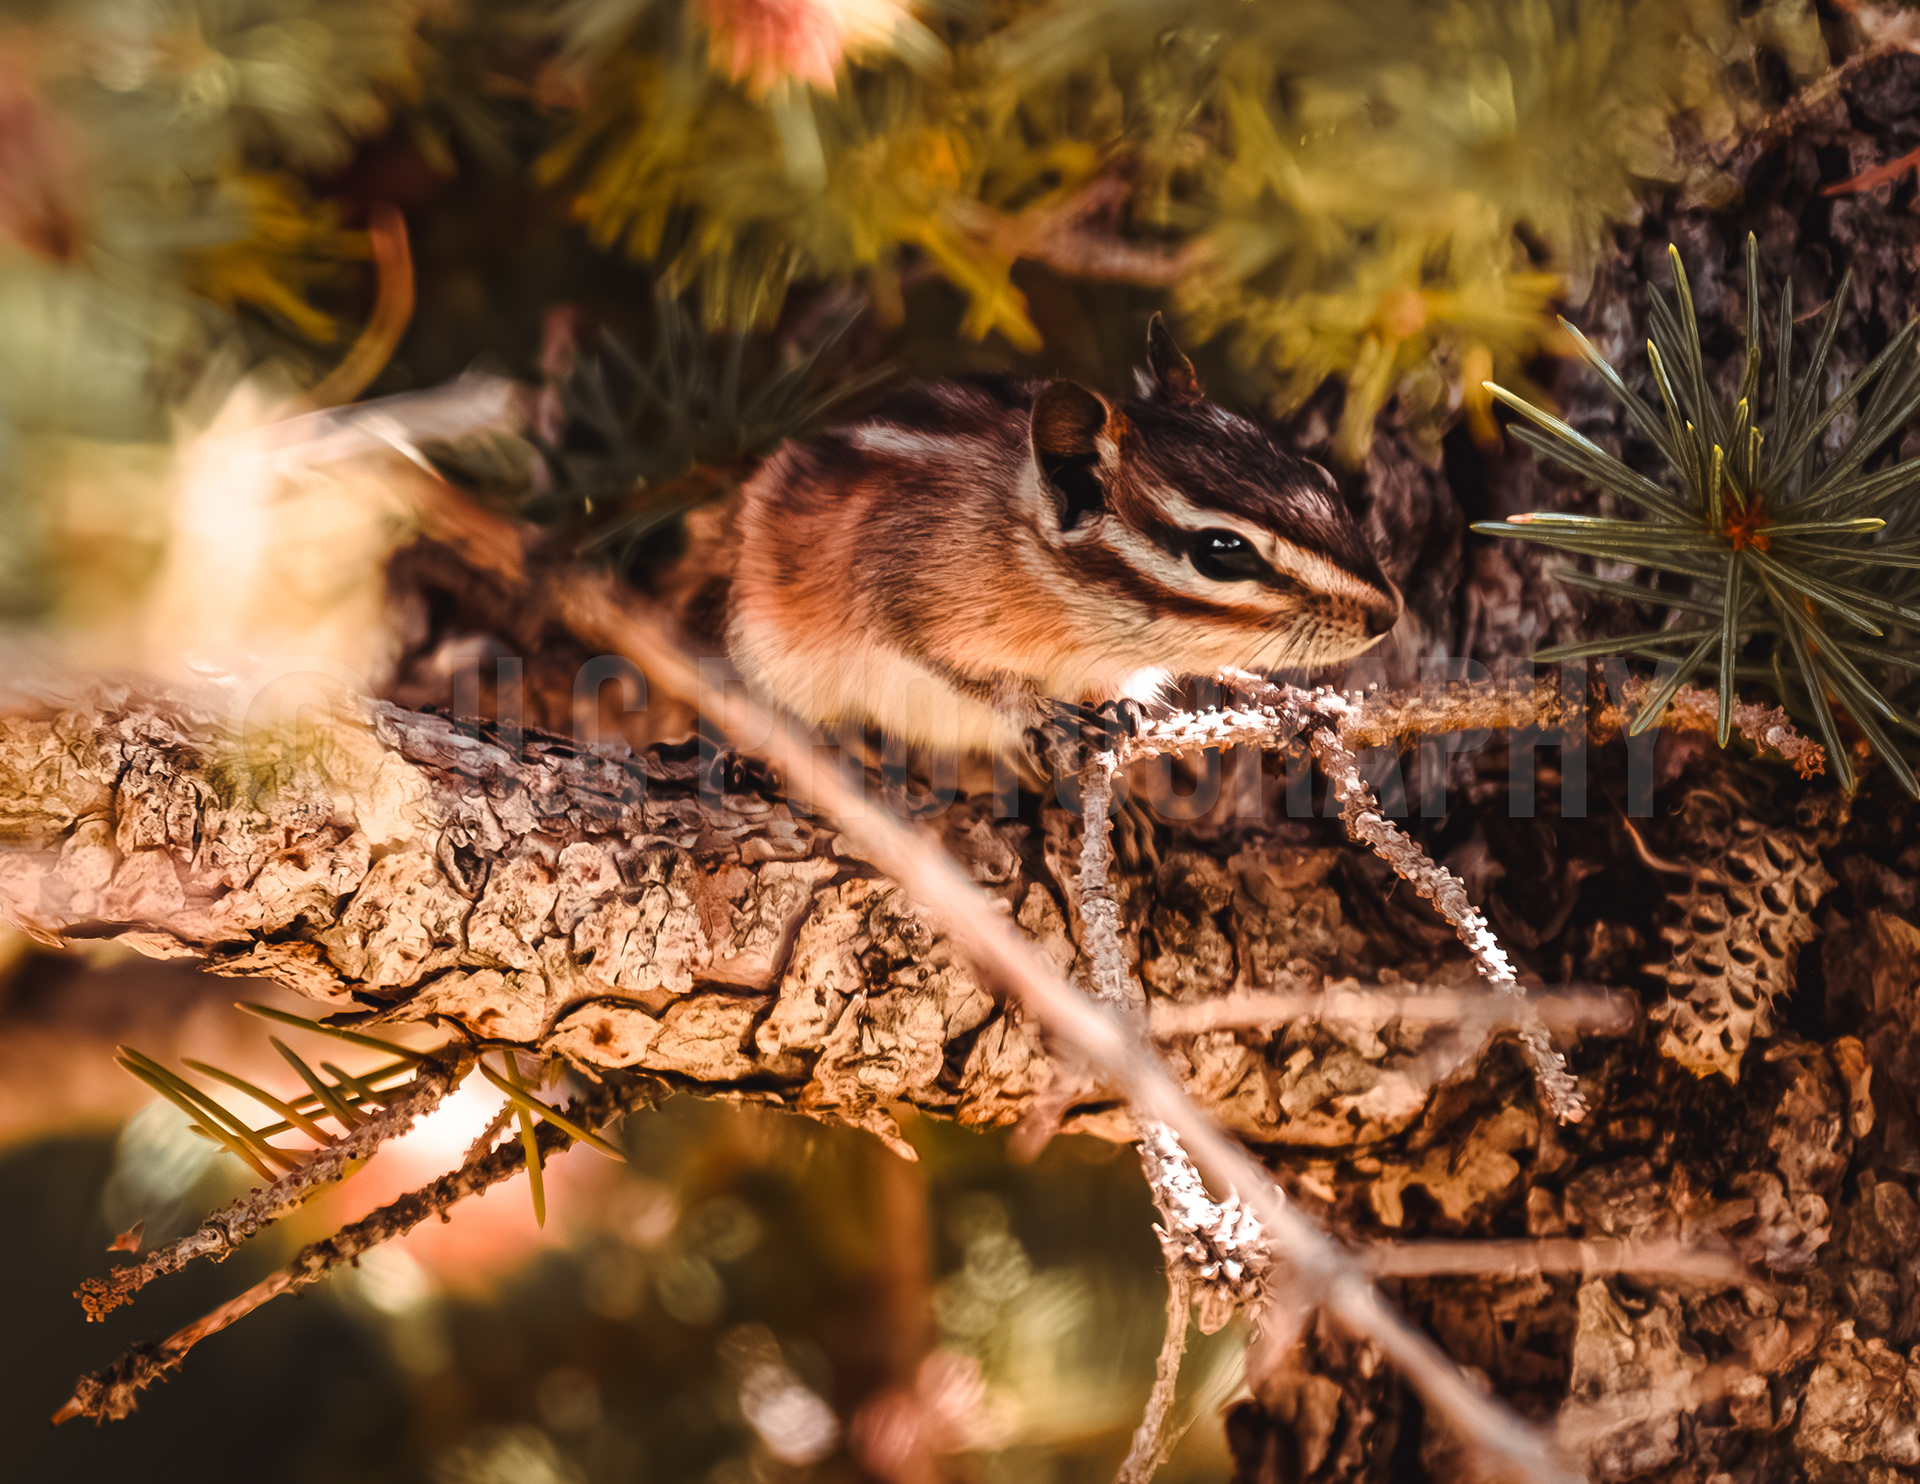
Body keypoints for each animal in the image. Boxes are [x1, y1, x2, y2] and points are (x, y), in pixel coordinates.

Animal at [726, 316, 1401, 767]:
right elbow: (963, 673)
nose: (1389, 614)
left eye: (1321, 477)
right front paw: (1033, 709)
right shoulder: (899, 592)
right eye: (1220, 550)